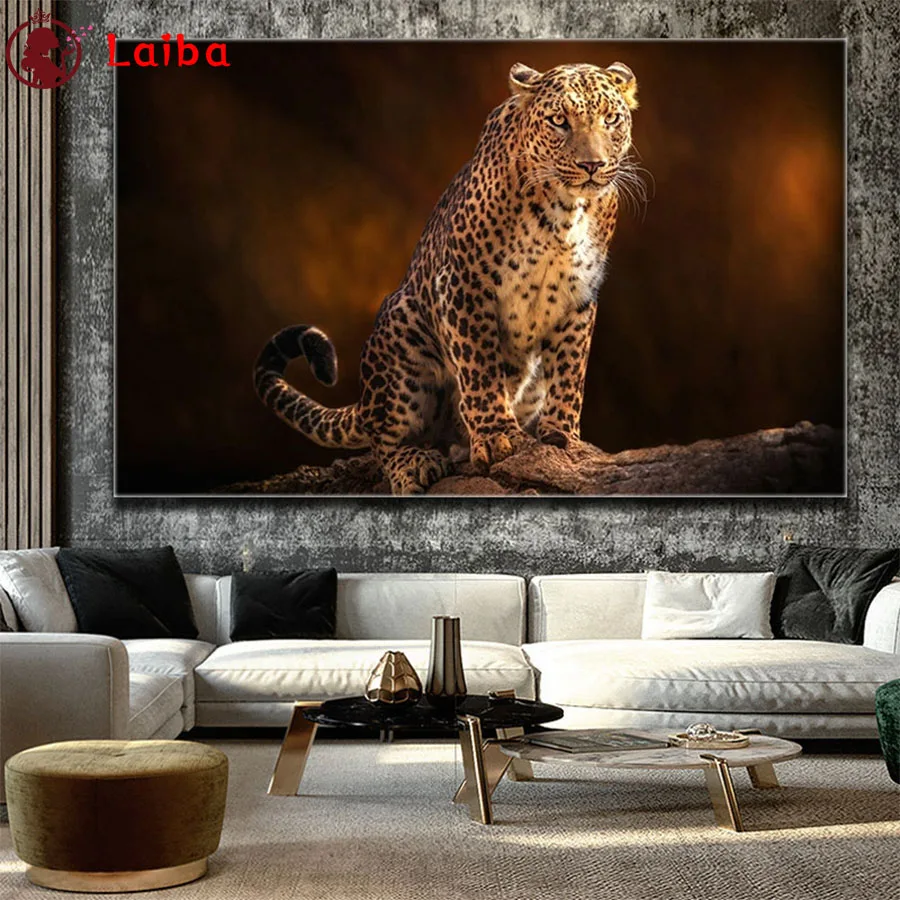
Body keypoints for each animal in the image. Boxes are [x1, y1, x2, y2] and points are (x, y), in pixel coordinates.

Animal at [254, 61, 640, 494]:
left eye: (611, 120)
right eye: (559, 121)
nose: (592, 165)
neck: (565, 210)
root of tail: (365, 403)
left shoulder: (579, 298)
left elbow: (571, 371)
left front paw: (562, 436)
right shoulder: (462, 284)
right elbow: (479, 367)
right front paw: (498, 436)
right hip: (402, 332)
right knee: (385, 439)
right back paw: (414, 464)